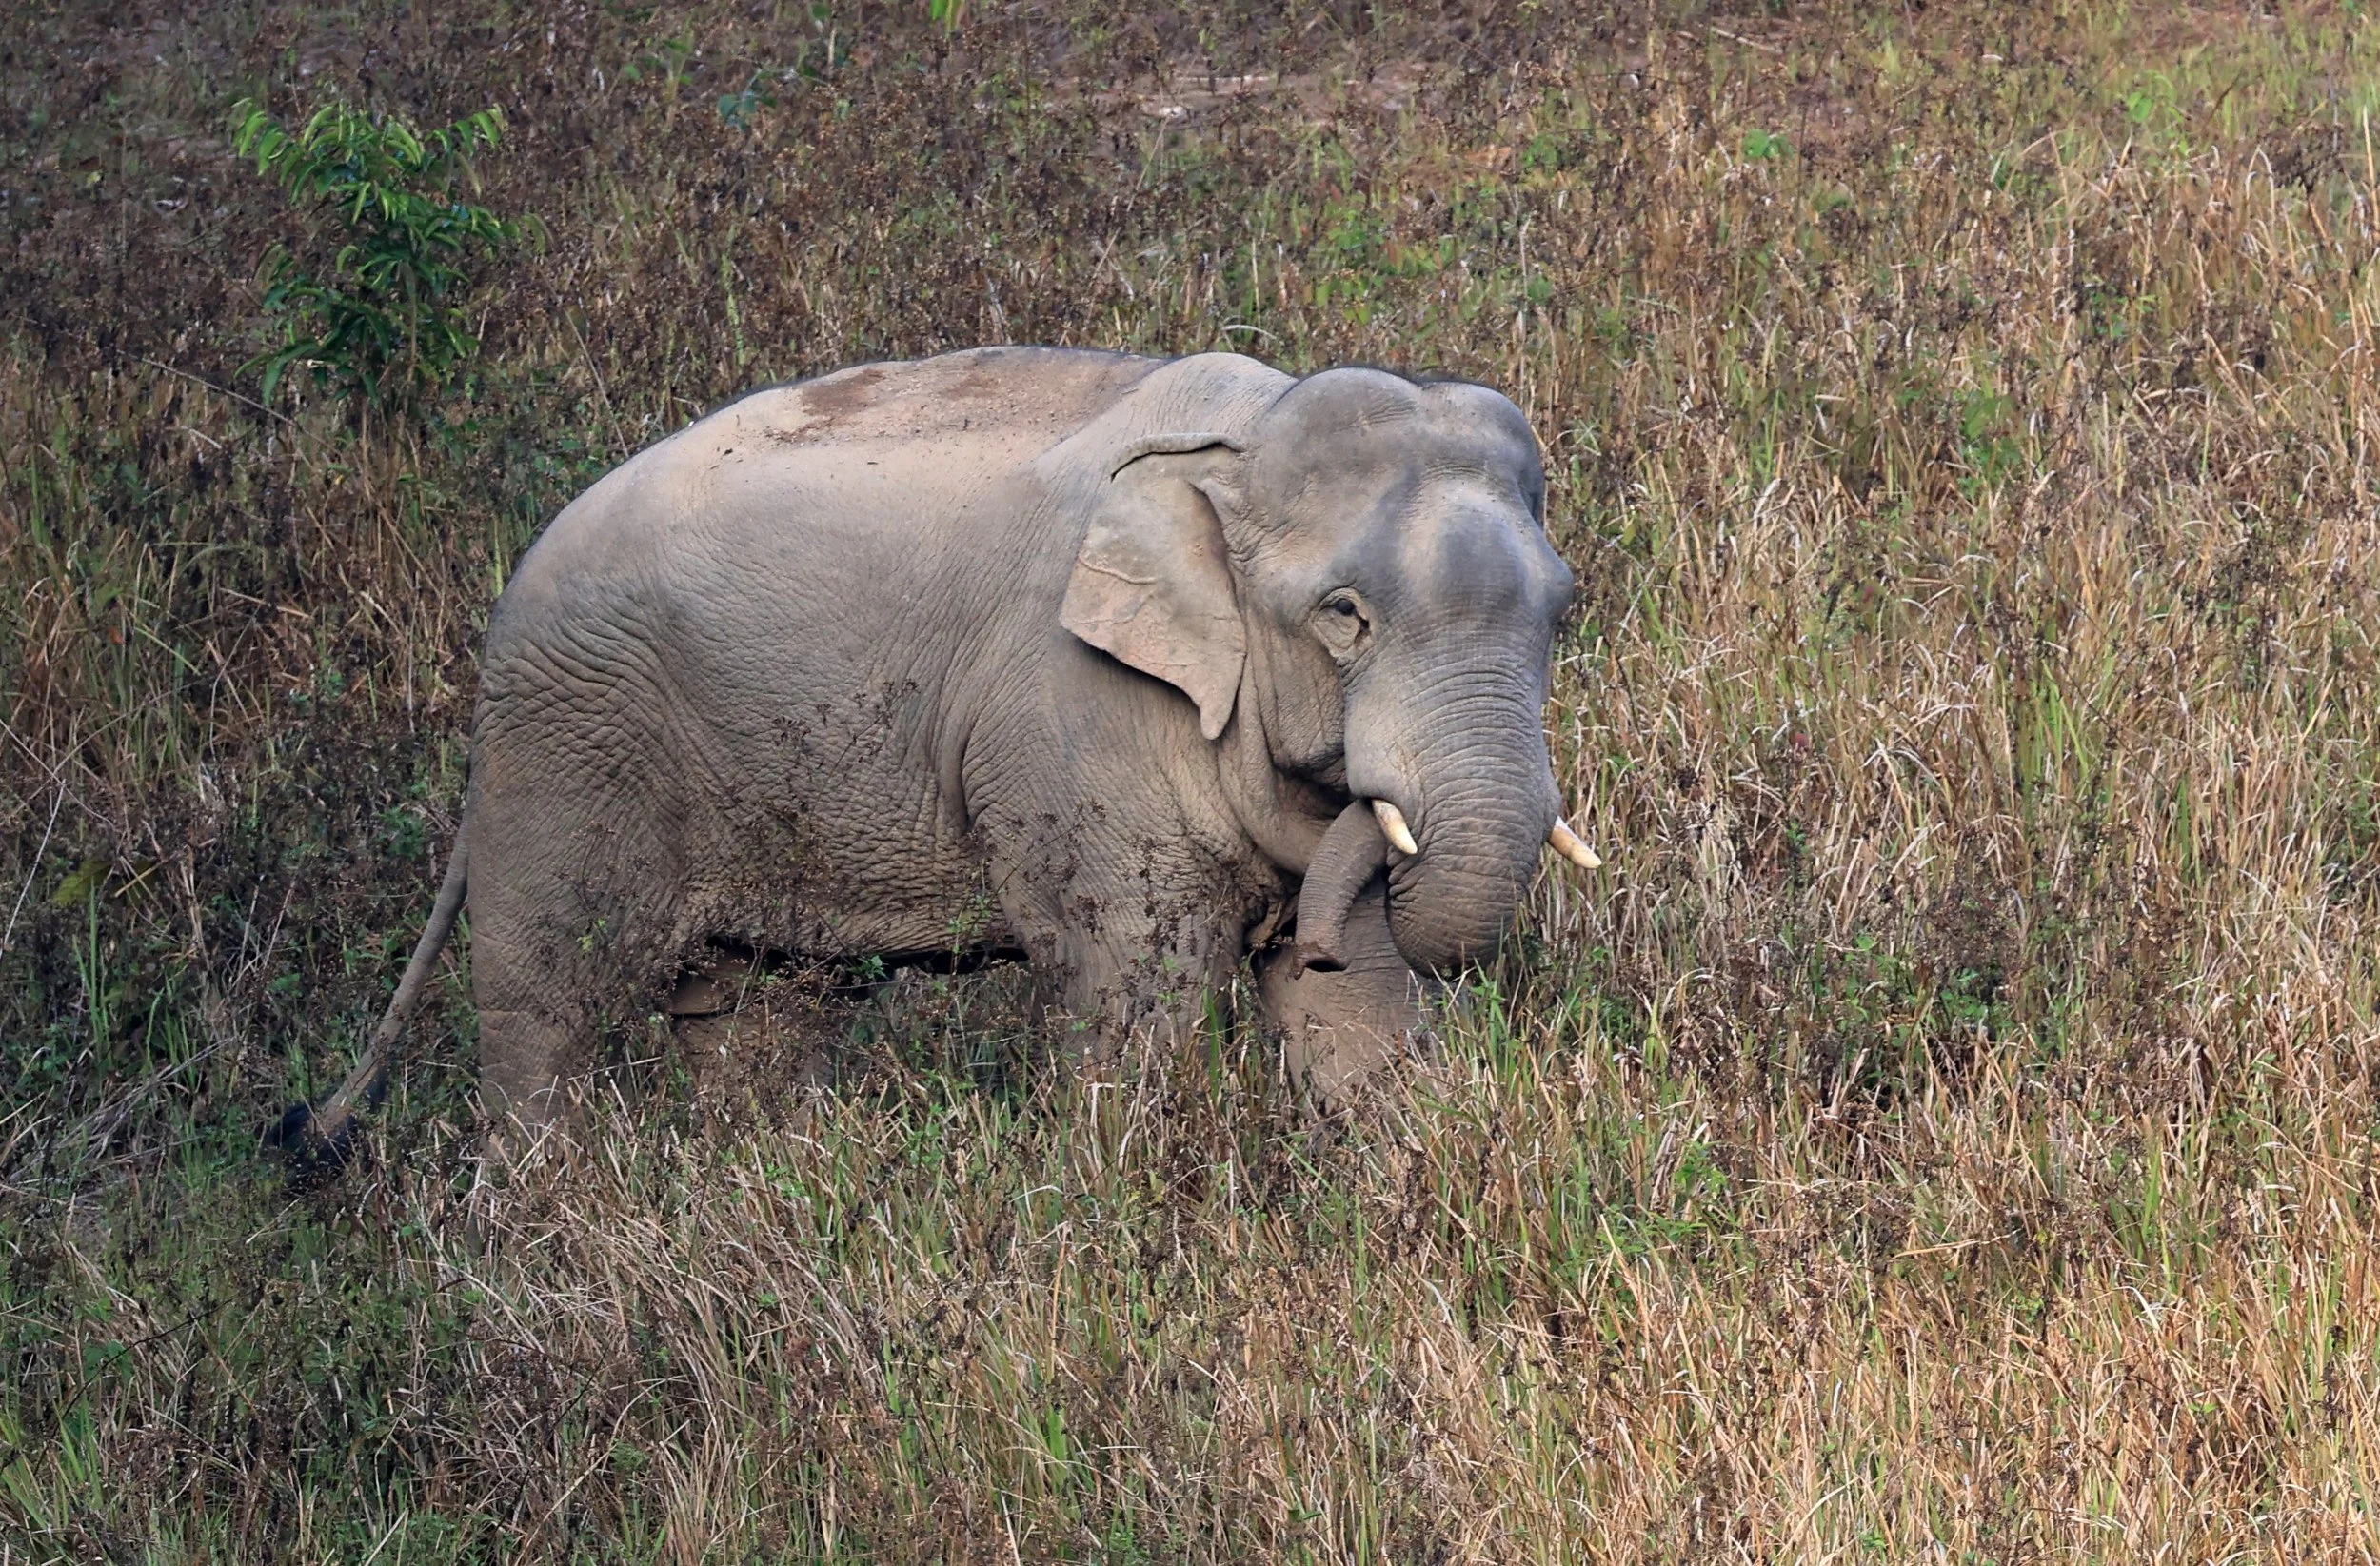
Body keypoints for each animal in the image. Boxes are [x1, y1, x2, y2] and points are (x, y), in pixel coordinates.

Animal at [282, 346, 1600, 1158]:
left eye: (1562, 608)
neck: (1237, 443)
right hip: (569, 749)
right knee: (547, 993)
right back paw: (537, 1219)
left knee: (756, 1006)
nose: (1309, 922)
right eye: (1343, 616)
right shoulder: (1073, 719)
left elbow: (1357, 1008)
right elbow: (1134, 990)